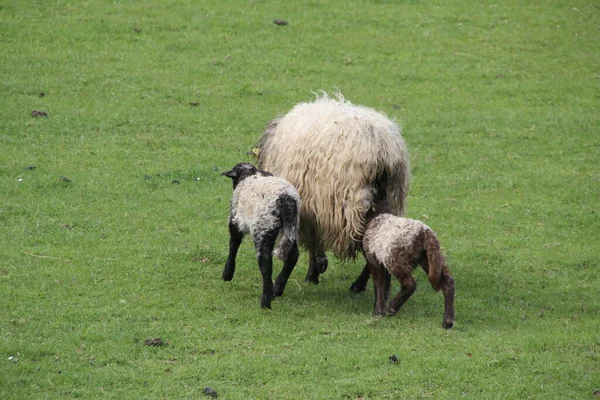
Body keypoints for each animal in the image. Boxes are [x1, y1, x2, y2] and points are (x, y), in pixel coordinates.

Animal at [221, 162, 300, 310]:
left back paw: (266, 301)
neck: (249, 176)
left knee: (266, 264)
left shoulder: (235, 220)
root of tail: (286, 200)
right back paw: (278, 288)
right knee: (293, 256)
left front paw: (227, 274)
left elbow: (233, 245)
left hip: (264, 227)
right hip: (291, 228)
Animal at [255, 93, 410, 288]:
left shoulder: (306, 207)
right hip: (390, 198)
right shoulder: (314, 208)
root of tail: (382, 149)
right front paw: (315, 270)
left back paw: (359, 285)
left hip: (353, 205)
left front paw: (308, 273)